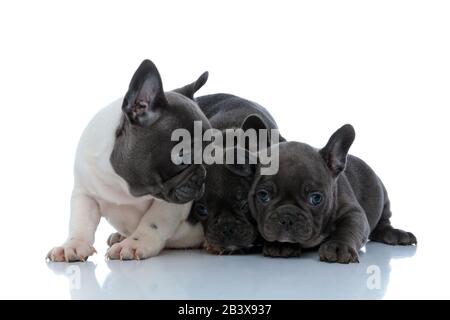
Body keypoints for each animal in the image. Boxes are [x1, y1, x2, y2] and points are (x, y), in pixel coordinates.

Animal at [47, 60, 211, 262]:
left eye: (210, 154)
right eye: (183, 157)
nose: (203, 176)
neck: (125, 185)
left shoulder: (170, 204)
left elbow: (153, 221)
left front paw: (134, 244)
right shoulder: (84, 193)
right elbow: (80, 221)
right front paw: (73, 245)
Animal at [248, 124, 416, 262]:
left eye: (316, 198)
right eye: (263, 196)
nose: (286, 217)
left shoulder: (353, 212)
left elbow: (348, 228)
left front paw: (338, 247)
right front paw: (280, 245)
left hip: (383, 197)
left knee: (383, 223)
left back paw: (397, 234)